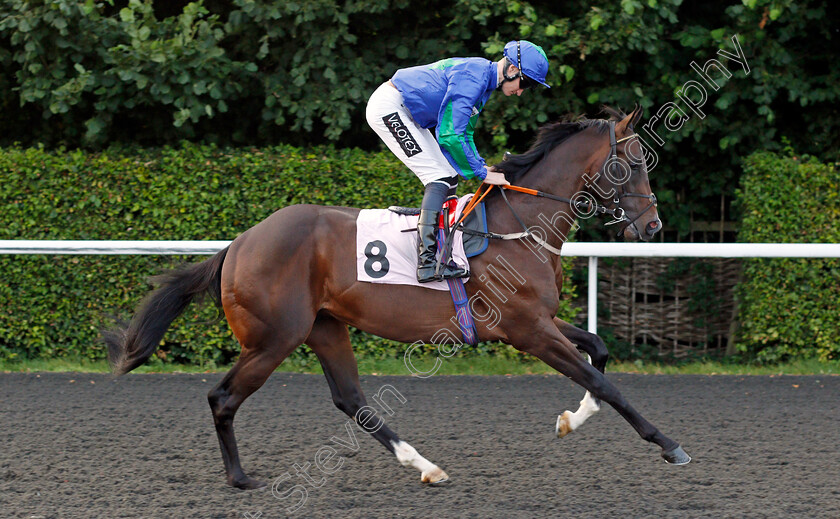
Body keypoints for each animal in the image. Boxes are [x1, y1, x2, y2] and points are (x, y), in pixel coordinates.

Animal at [106, 106, 688, 492]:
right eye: (635, 162)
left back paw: (425, 466)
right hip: (274, 339)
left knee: (352, 400)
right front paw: (668, 444)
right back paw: (240, 477)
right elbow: (604, 381)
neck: (517, 226)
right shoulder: (527, 330)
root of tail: (240, 243)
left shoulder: (538, 320)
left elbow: (599, 352)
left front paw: (572, 419)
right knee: (223, 397)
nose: (653, 227)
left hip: (324, 327)